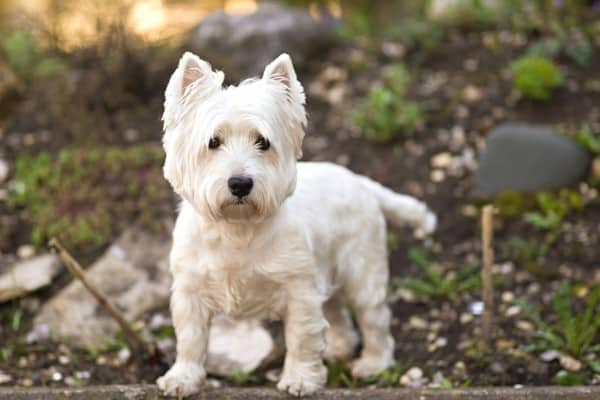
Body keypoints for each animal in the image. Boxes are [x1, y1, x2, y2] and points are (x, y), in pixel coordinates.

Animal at [156, 50, 436, 396]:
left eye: (263, 142)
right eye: (213, 142)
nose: (240, 184)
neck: (236, 227)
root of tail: (361, 182)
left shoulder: (298, 290)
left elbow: (301, 338)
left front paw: (301, 379)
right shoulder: (190, 291)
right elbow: (190, 339)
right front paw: (182, 378)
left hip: (361, 269)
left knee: (374, 317)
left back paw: (373, 364)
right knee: (337, 311)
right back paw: (338, 349)